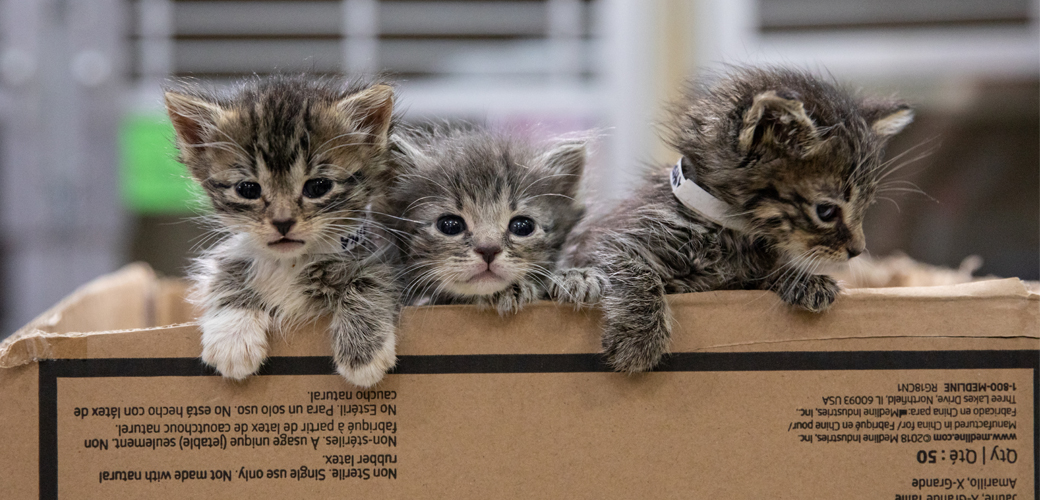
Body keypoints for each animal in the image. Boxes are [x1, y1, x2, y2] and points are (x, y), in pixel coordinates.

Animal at [164, 74, 399, 386]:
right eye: (248, 189)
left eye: (318, 187)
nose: (283, 222)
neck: (290, 262)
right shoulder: (235, 251)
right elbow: (224, 274)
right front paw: (232, 337)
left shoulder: (385, 253)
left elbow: (372, 279)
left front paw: (363, 353)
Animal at [565, 67, 915, 370]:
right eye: (826, 212)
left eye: (866, 206)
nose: (857, 250)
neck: (729, 232)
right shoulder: (607, 242)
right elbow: (634, 271)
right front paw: (639, 338)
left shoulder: (740, 280)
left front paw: (803, 280)